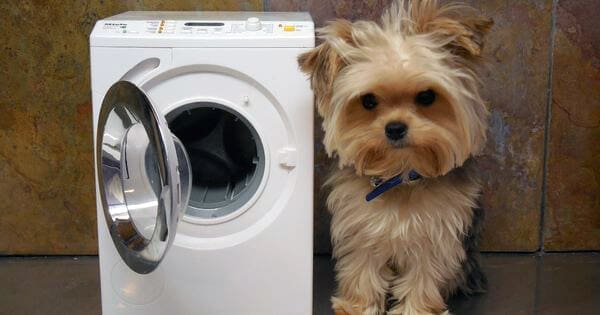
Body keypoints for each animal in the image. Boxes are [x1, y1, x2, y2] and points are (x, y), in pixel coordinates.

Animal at [298, 0, 492, 315]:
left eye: (426, 97)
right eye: (368, 101)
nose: (395, 128)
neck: (401, 174)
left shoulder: (437, 234)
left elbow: (424, 276)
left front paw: (416, 309)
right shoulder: (361, 225)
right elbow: (362, 267)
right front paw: (358, 306)